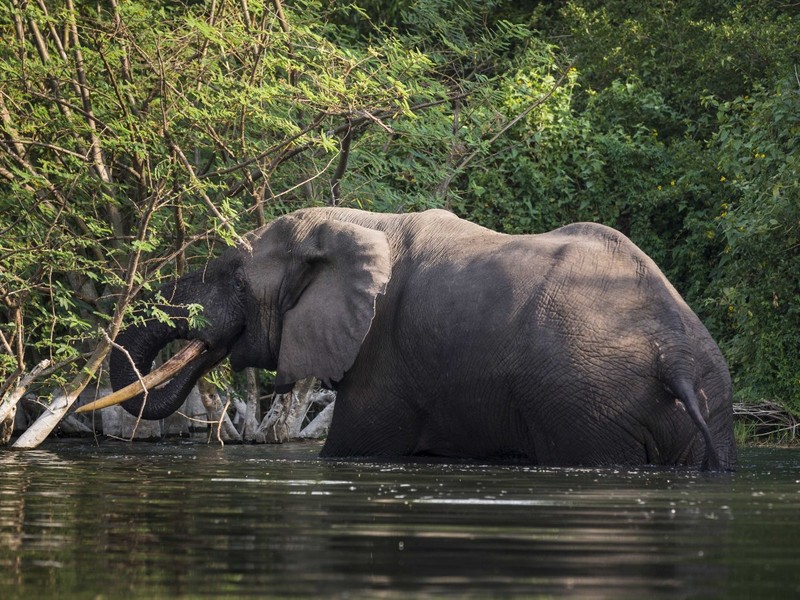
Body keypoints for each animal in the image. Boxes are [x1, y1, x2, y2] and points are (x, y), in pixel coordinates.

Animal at [83, 209, 736, 472]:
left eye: (229, 277)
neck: (355, 222)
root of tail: (676, 358)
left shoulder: (383, 358)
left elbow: (351, 449)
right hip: (706, 401)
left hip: (586, 401)